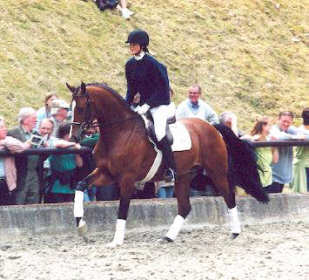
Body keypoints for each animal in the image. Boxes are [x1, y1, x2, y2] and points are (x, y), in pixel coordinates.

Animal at [65, 81, 268, 247]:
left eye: (81, 107)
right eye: (70, 107)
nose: (73, 137)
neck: (120, 133)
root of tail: (212, 127)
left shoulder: (127, 179)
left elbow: (122, 208)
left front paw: (116, 241)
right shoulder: (106, 173)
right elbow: (80, 185)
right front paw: (81, 226)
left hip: (216, 171)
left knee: (229, 197)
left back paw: (235, 232)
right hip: (184, 176)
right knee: (185, 207)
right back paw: (168, 237)